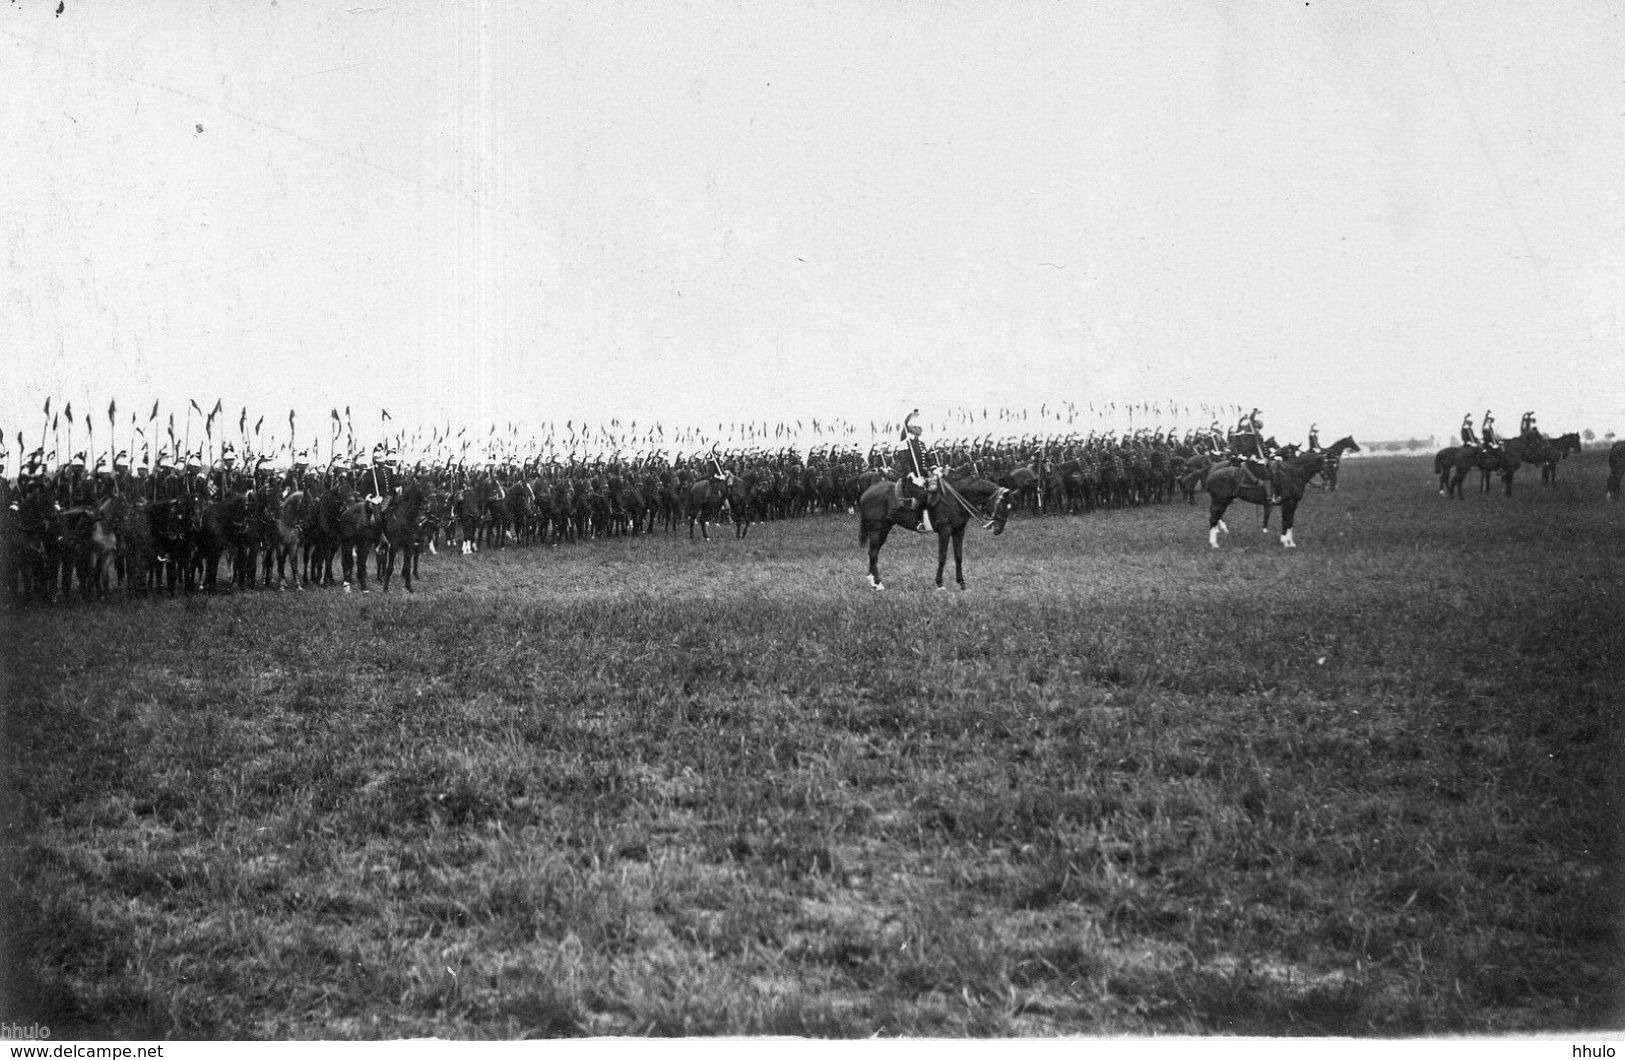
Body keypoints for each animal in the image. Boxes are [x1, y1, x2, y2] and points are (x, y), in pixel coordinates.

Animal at [858, 474, 1007, 591]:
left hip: (884, 529)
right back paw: (878, 583)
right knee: (873, 553)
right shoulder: (945, 530)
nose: (999, 530)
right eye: (1001, 504)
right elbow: (942, 556)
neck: (954, 499)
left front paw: (961, 583)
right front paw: (940, 584)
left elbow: (958, 557)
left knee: (874, 553)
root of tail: (867, 492)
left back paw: (873, 581)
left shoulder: (959, 531)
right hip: (876, 529)